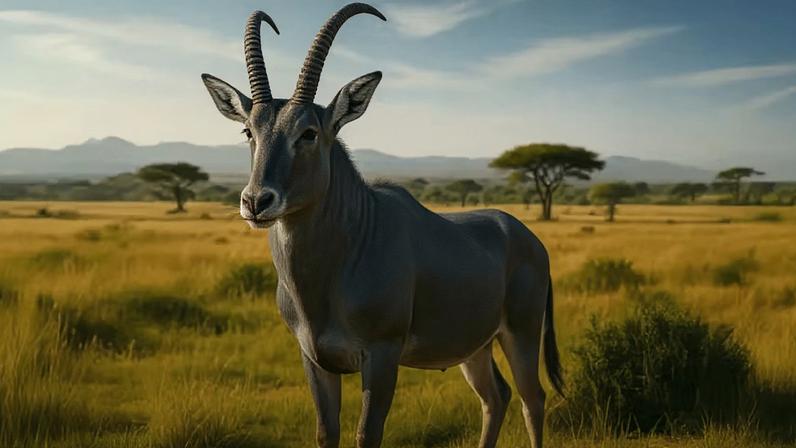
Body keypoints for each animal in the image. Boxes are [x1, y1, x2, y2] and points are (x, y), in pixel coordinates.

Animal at [201, 4, 563, 447]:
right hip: (475, 347)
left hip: (521, 335)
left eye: (309, 132)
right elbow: (327, 433)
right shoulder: (315, 359)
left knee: (533, 399)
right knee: (497, 396)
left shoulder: (382, 356)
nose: (256, 201)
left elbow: (366, 434)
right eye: (248, 130)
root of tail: (529, 240)